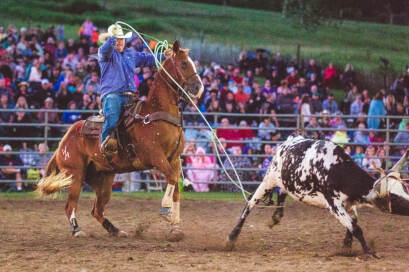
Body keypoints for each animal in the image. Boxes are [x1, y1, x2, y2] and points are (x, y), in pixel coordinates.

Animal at [35, 40, 203, 240]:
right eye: (184, 63)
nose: (199, 88)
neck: (155, 112)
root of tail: (63, 142)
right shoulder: (155, 157)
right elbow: (171, 178)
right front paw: (166, 212)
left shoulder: (174, 159)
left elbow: (176, 187)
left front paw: (175, 227)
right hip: (74, 175)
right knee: (71, 205)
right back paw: (78, 230)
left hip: (103, 179)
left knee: (97, 210)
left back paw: (115, 230)